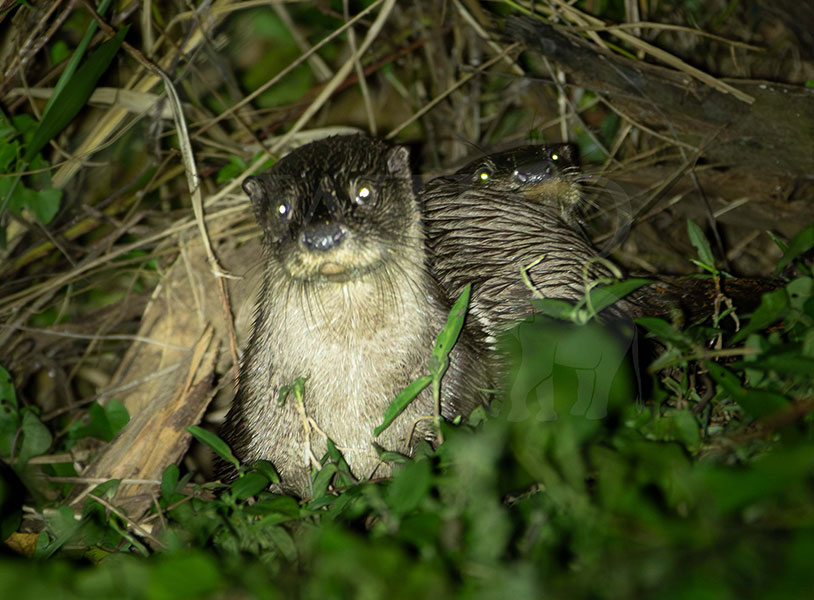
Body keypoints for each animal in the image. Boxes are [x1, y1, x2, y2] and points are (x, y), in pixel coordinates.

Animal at [220, 135, 490, 496]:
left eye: (364, 192)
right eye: (282, 208)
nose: (322, 236)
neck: (352, 404)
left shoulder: (457, 377)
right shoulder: (253, 426)